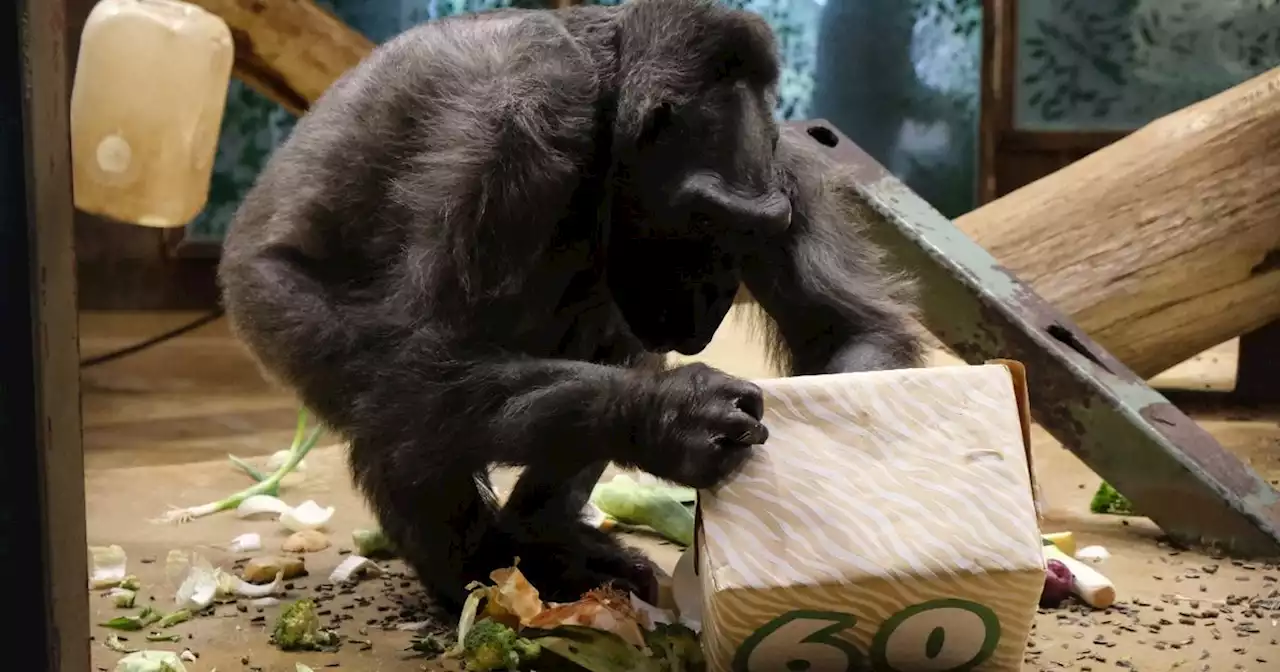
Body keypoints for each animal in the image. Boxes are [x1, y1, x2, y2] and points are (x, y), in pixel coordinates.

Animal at [220, 0, 921, 609]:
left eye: (752, 231)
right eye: (703, 219)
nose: (718, 290)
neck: (602, 102)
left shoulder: (789, 171)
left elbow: (845, 330)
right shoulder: (515, 130)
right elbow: (428, 351)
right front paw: (670, 415)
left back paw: (544, 539)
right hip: (276, 309)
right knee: (399, 401)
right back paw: (475, 575)